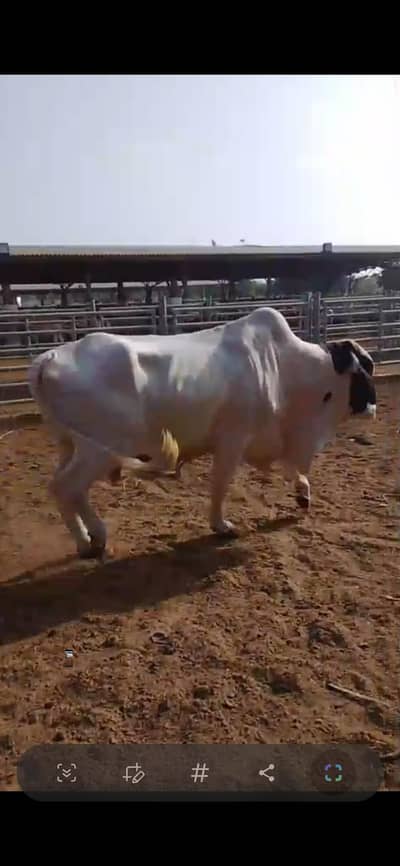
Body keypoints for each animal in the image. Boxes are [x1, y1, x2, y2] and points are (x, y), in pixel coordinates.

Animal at [28, 307, 376, 559]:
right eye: (365, 370)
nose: (373, 406)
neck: (284, 367)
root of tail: (50, 356)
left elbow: (292, 470)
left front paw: (303, 495)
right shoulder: (233, 439)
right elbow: (220, 485)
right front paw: (221, 526)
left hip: (71, 445)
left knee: (69, 489)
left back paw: (92, 536)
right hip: (99, 448)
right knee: (65, 487)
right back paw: (89, 541)